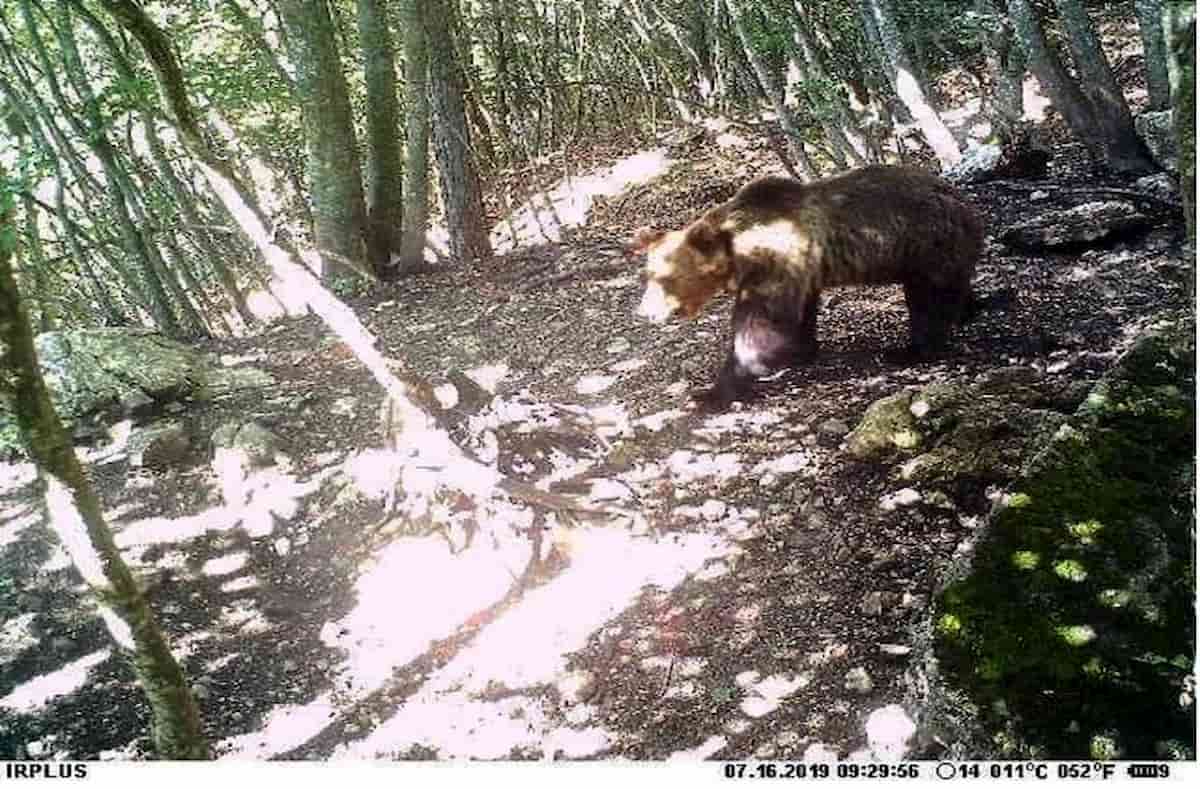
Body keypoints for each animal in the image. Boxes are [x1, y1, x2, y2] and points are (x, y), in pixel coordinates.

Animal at [634, 165, 984, 409]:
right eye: (648, 274)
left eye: (663, 277)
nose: (644, 313)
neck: (737, 252)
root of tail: (963, 201)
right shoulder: (801, 270)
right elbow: (799, 313)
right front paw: (800, 351)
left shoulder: (773, 261)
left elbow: (760, 323)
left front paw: (715, 390)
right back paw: (969, 310)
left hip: (924, 243)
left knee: (929, 301)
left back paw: (908, 350)